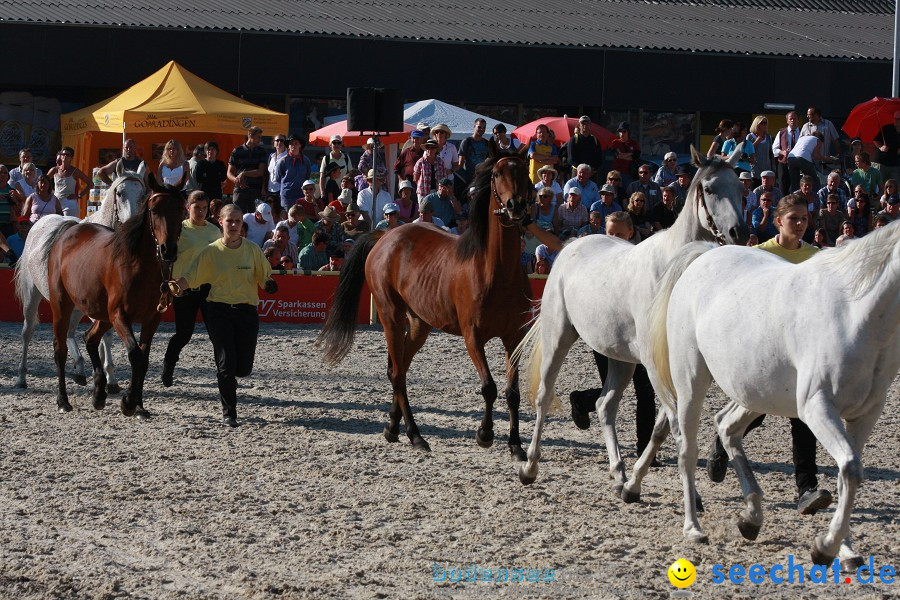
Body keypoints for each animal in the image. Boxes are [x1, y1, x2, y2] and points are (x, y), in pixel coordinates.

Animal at [14, 170, 146, 394]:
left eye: (143, 195)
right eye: (119, 193)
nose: (132, 224)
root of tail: (40, 223)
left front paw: (104, 375)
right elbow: (106, 336)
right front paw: (109, 378)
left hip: (74, 306)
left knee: (69, 332)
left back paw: (80, 368)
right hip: (32, 295)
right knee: (27, 332)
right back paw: (22, 377)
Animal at [44, 173, 184, 418]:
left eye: (181, 210)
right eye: (154, 209)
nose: (168, 250)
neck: (139, 265)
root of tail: (70, 230)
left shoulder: (152, 319)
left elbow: (144, 359)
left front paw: (138, 405)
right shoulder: (119, 315)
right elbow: (135, 354)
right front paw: (128, 402)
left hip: (103, 316)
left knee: (90, 338)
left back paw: (99, 393)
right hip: (63, 306)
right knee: (60, 349)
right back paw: (63, 400)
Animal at [314, 141, 532, 460]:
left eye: (524, 174)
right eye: (496, 174)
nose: (515, 206)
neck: (496, 269)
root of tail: (384, 237)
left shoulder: (514, 338)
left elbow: (512, 392)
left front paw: (516, 445)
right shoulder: (473, 337)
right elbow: (489, 387)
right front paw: (484, 434)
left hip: (419, 324)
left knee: (400, 368)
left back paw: (393, 428)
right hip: (391, 317)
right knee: (397, 374)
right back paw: (415, 435)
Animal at [512, 146, 744, 492]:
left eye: (740, 187)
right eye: (711, 188)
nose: (738, 232)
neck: (671, 267)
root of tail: (571, 245)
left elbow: (663, 426)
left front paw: (635, 481)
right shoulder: (655, 363)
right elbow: (674, 424)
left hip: (620, 358)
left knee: (605, 405)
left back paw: (619, 470)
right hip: (558, 336)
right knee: (544, 395)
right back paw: (530, 466)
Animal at [648, 220, 900, 568]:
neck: (855, 313)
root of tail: (706, 255)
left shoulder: (865, 415)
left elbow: (848, 474)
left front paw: (847, 551)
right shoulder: (816, 407)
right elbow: (850, 469)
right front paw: (825, 548)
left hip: (756, 392)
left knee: (727, 426)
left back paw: (751, 518)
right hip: (691, 382)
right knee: (687, 450)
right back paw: (694, 528)